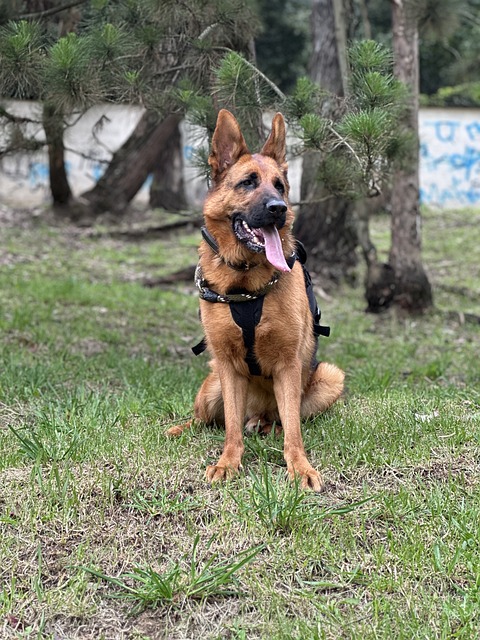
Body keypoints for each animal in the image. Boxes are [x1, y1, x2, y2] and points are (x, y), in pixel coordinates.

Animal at [169, 110, 344, 490]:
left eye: (279, 185)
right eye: (248, 183)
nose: (279, 209)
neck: (245, 283)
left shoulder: (288, 366)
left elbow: (293, 430)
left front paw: (300, 467)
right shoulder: (228, 365)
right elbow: (231, 428)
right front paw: (228, 462)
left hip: (329, 378)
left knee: (281, 419)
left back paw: (267, 425)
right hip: (213, 384)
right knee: (209, 419)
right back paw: (182, 428)